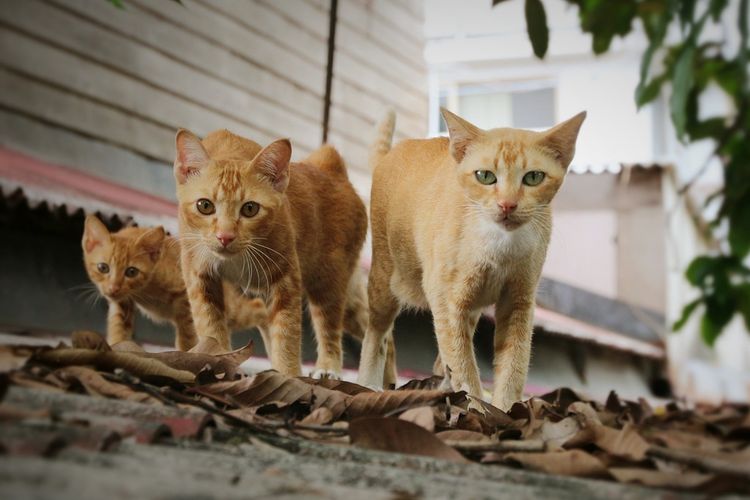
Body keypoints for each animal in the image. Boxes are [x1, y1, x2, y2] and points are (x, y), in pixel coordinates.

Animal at [79, 213, 266, 350]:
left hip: (230, 308)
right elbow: (118, 329)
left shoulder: (186, 295)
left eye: (131, 272)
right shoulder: (122, 303)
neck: (144, 289)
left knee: (258, 306)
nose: (113, 289)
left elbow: (187, 333)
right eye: (103, 268)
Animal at [173, 130, 368, 378]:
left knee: (333, 329)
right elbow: (210, 328)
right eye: (204, 206)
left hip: (328, 283)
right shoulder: (200, 277)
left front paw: (289, 375)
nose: (225, 237)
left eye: (250, 209)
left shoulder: (285, 282)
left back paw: (329, 368)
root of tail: (332, 168)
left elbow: (286, 336)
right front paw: (217, 363)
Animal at [358, 107, 588, 408]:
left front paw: (506, 409)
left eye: (533, 178)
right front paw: (477, 407)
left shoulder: (518, 302)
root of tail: (393, 152)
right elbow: (464, 365)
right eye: (485, 176)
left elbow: (513, 364)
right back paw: (369, 383)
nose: (507, 205)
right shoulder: (446, 299)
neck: (501, 247)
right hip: (386, 280)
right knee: (377, 333)